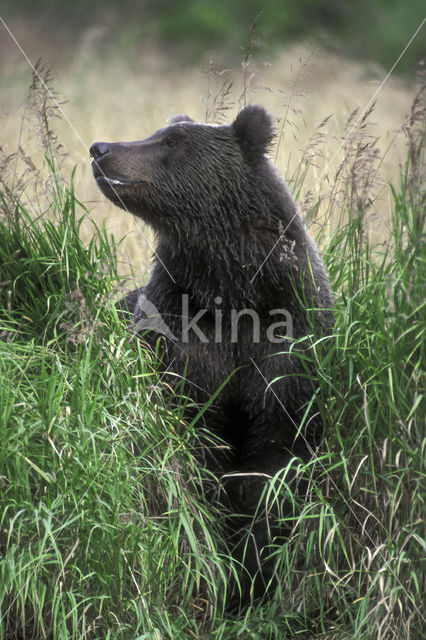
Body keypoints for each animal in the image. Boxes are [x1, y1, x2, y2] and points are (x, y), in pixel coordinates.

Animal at [91, 106, 334, 608]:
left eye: (172, 141)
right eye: (160, 132)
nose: (100, 149)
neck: (229, 290)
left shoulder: (286, 349)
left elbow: (276, 462)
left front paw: (256, 570)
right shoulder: (182, 337)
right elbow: (197, 447)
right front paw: (218, 563)